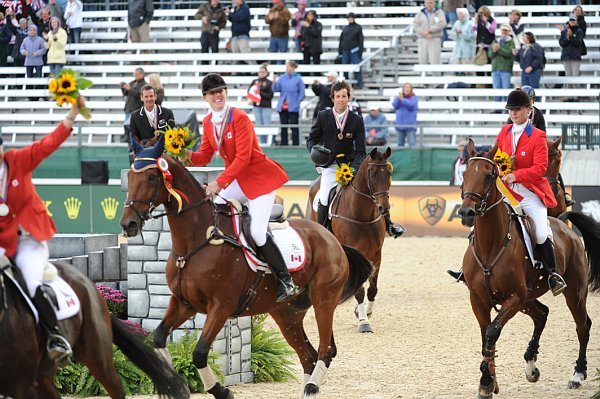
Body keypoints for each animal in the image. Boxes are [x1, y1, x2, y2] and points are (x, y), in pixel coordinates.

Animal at [118, 136, 372, 398]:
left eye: (151, 177)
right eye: (130, 177)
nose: (128, 224)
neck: (196, 240)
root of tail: (331, 238)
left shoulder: (221, 307)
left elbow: (199, 353)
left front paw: (222, 391)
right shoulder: (184, 303)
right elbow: (159, 338)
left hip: (324, 299)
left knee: (324, 350)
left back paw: (312, 386)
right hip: (287, 314)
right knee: (307, 357)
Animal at [308, 147, 392, 334]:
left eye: (389, 172)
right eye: (372, 173)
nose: (383, 208)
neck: (362, 214)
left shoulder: (377, 254)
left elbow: (372, 289)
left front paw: (366, 312)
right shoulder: (357, 251)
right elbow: (359, 291)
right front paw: (363, 322)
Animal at [458, 139, 600, 398]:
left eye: (489, 175)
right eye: (465, 174)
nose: (466, 213)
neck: (491, 245)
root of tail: (563, 224)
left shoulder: (514, 296)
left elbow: (492, 332)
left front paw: (486, 381)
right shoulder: (479, 300)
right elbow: (485, 338)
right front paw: (489, 382)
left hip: (573, 293)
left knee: (583, 326)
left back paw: (577, 374)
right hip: (529, 299)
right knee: (542, 314)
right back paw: (531, 365)